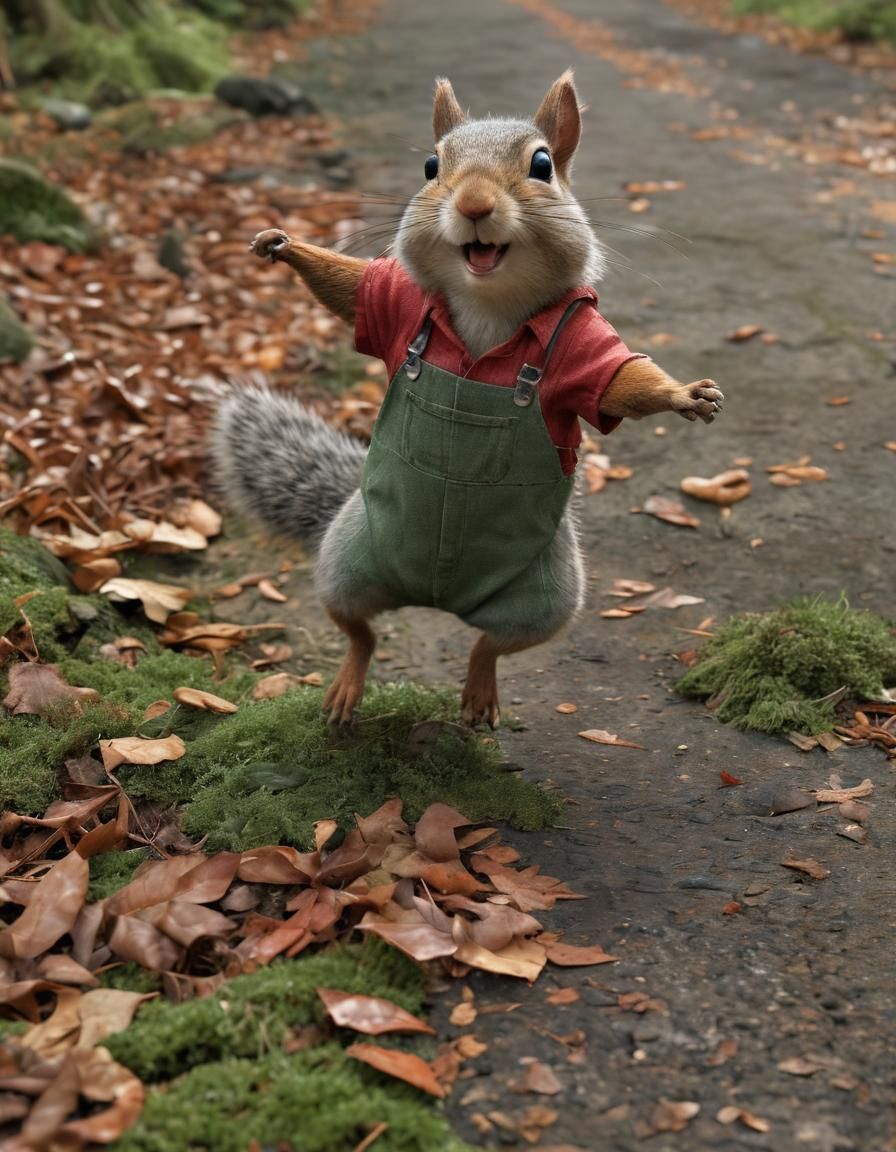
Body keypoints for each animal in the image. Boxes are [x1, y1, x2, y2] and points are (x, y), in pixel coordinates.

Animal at [213, 71, 723, 728]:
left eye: (542, 165)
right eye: (431, 166)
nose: (474, 205)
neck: (486, 308)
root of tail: (437, 598)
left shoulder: (583, 347)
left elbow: (620, 382)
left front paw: (685, 394)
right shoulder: (396, 305)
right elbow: (354, 289)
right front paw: (285, 244)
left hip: (548, 597)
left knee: (489, 644)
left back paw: (478, 694)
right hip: (344, 563)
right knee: (359, 633)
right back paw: (347, 688)